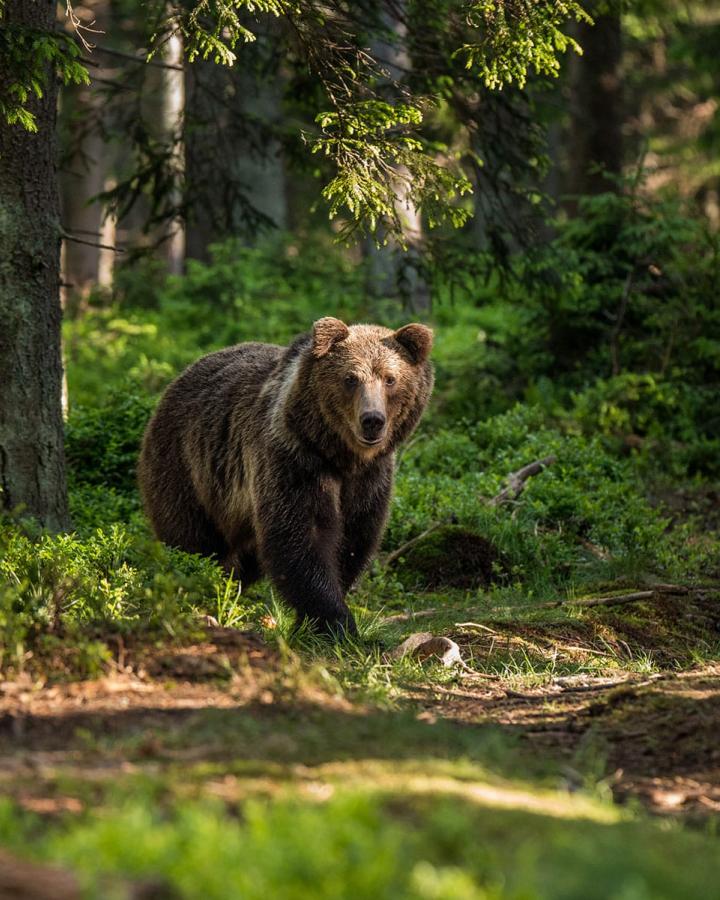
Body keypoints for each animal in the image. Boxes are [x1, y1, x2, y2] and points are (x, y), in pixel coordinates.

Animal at [140, 316, 434, 632]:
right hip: (187, 467)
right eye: (351, 378)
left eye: (390, 379)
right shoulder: (294, 460)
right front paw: (335, 622)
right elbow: (301, 537)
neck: (340, 456)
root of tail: (179, 377)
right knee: (191, 539)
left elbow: (353, 538)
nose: (372, 421)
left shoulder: (369, 479)